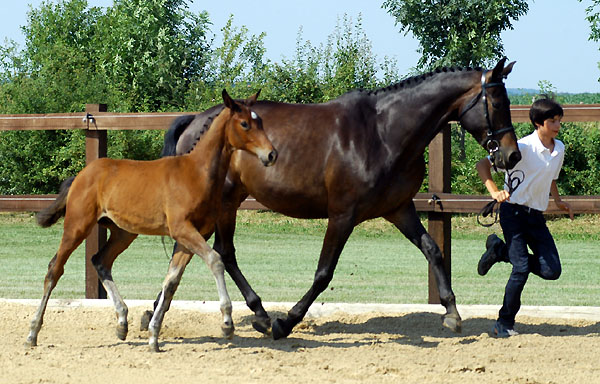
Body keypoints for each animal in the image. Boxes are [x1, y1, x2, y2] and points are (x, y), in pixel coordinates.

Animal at [23, 89, 276, 352]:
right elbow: (215, 260)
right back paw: (32, 333)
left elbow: (171, 281)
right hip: (77, 225)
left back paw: (122, 322)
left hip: (124, 232)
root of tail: (82, 175)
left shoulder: (191, 237)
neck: (197, 173)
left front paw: (154, 335)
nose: (271, 154)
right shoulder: (183, 230)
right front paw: (227, 322)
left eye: (260, 121)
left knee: (100, 261)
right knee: (54, 269)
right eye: (244, 123)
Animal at [159, 57, 520, 340]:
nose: (512, 156)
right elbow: (324, 273)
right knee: (216, 251)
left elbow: (433, 250)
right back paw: (253, 315)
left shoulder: (399, 209)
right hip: (222, 204)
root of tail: (195, 121)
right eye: (497, 104)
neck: (383, 133)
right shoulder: (343, 215)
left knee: (212, 251)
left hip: (227, 204)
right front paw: (287, 321)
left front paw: (452, 313)